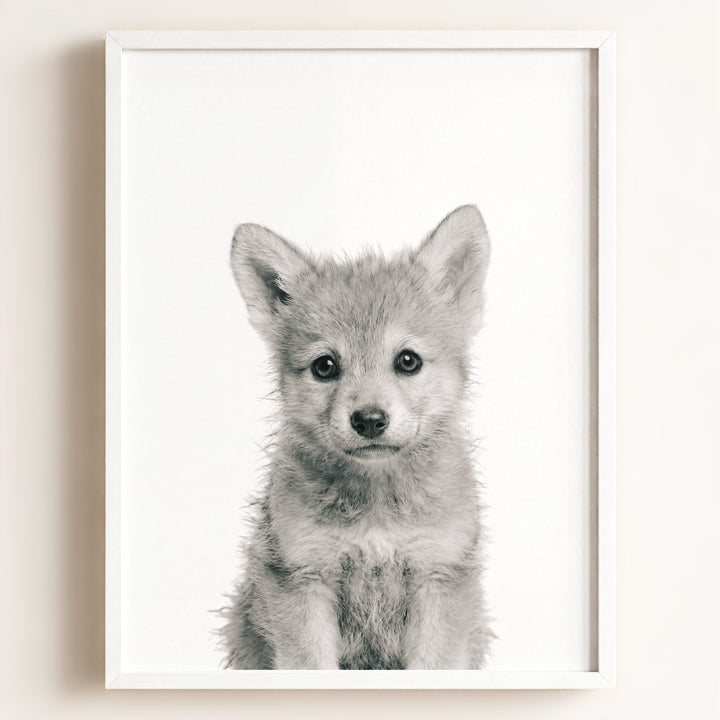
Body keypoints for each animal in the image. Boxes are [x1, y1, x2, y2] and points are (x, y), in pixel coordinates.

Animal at [221, 205, 493, 670]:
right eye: (324, 366)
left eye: (407, 360)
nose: (368, 420)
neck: (377, 509)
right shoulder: (303, 578)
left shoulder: (438, 575)